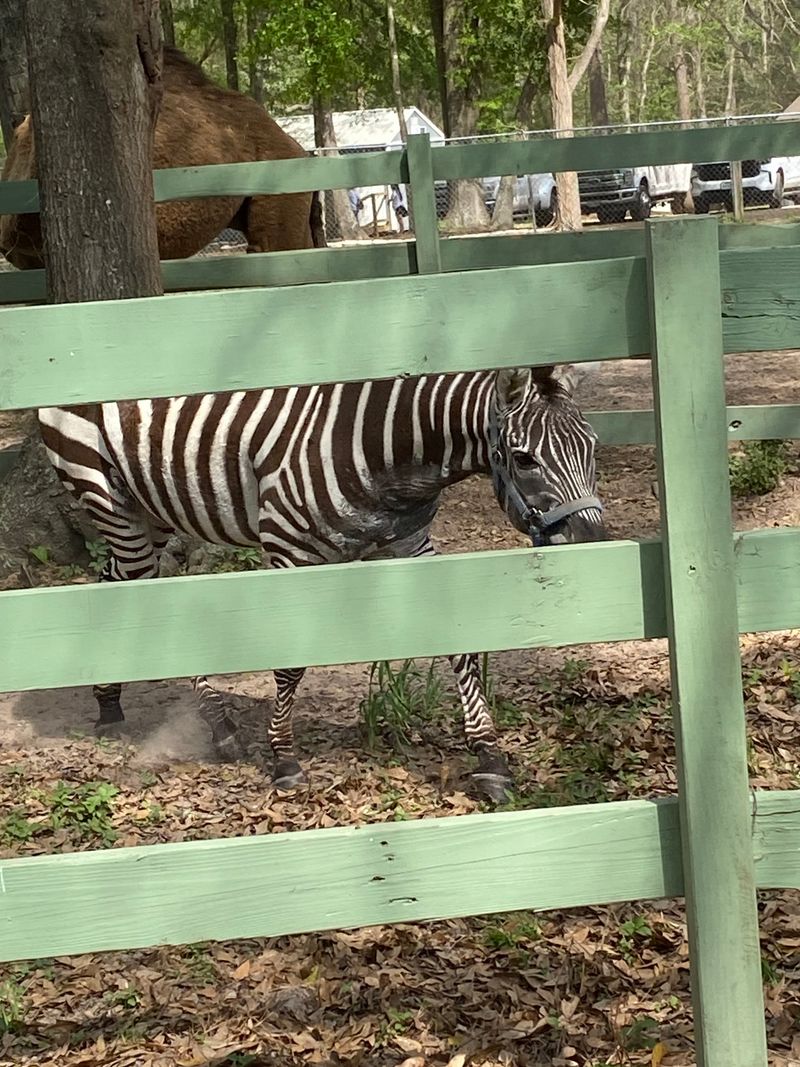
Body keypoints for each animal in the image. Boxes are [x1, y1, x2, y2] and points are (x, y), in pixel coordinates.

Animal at [38, 361, 605, 802]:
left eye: (593, 448)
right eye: (524, 458)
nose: (593, 542)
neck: (384, 449)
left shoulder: (410, 543)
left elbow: (458, 644)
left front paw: (489, 759)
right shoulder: (288, 551)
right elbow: (290, 664)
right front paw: (285, 760)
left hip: (147, 511)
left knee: (118, 581)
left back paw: (109, 700)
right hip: (106, 495)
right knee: (141, 590)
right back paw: (216, 725)